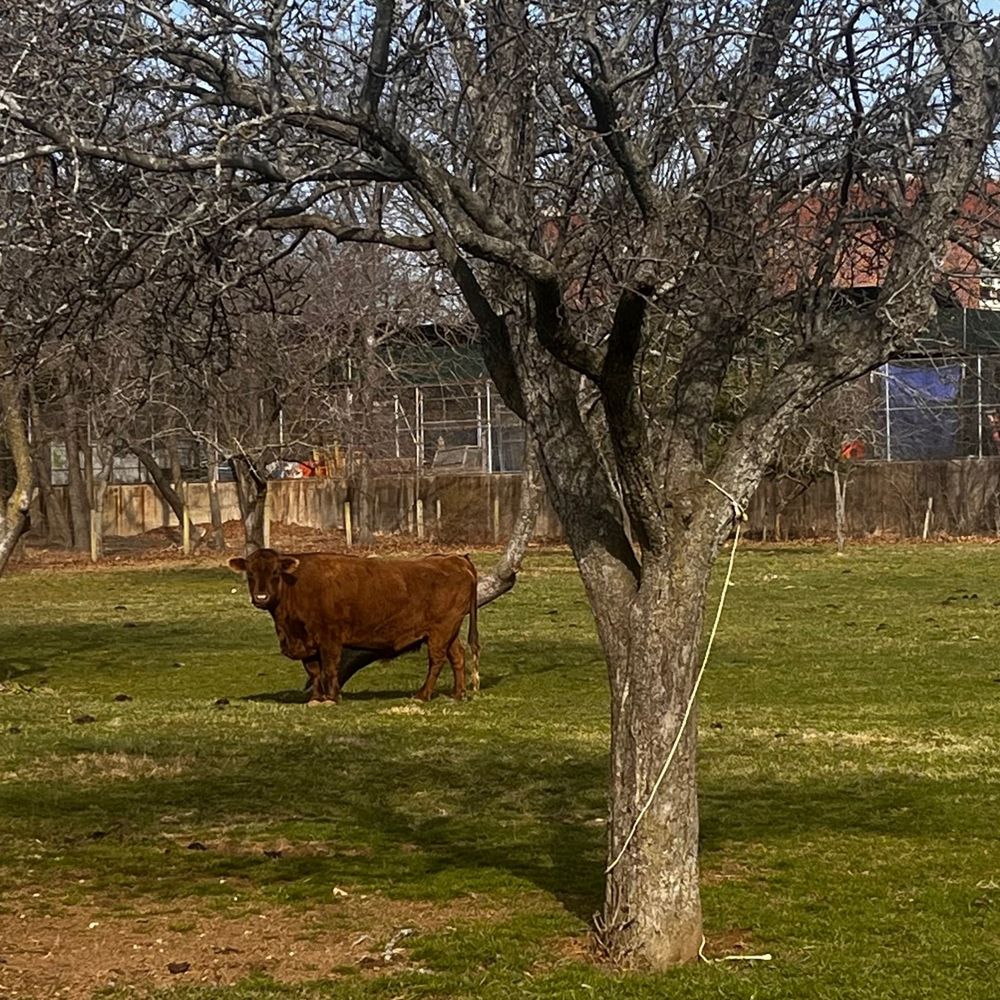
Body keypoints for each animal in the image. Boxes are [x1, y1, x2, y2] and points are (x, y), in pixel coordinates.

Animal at [228, 548, 479, 704]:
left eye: (275, 572)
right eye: (250, 574)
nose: (261, 597)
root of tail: (455, 559)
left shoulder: (329, 639)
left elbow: (329, 668)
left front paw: (331, 698)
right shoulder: (307, 644)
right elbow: (315, 671)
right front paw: (316, 698)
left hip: (440, 632)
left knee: (436, 660)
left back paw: (422, 695)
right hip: (449, 632)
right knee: (457, 657)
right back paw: (458, 694)